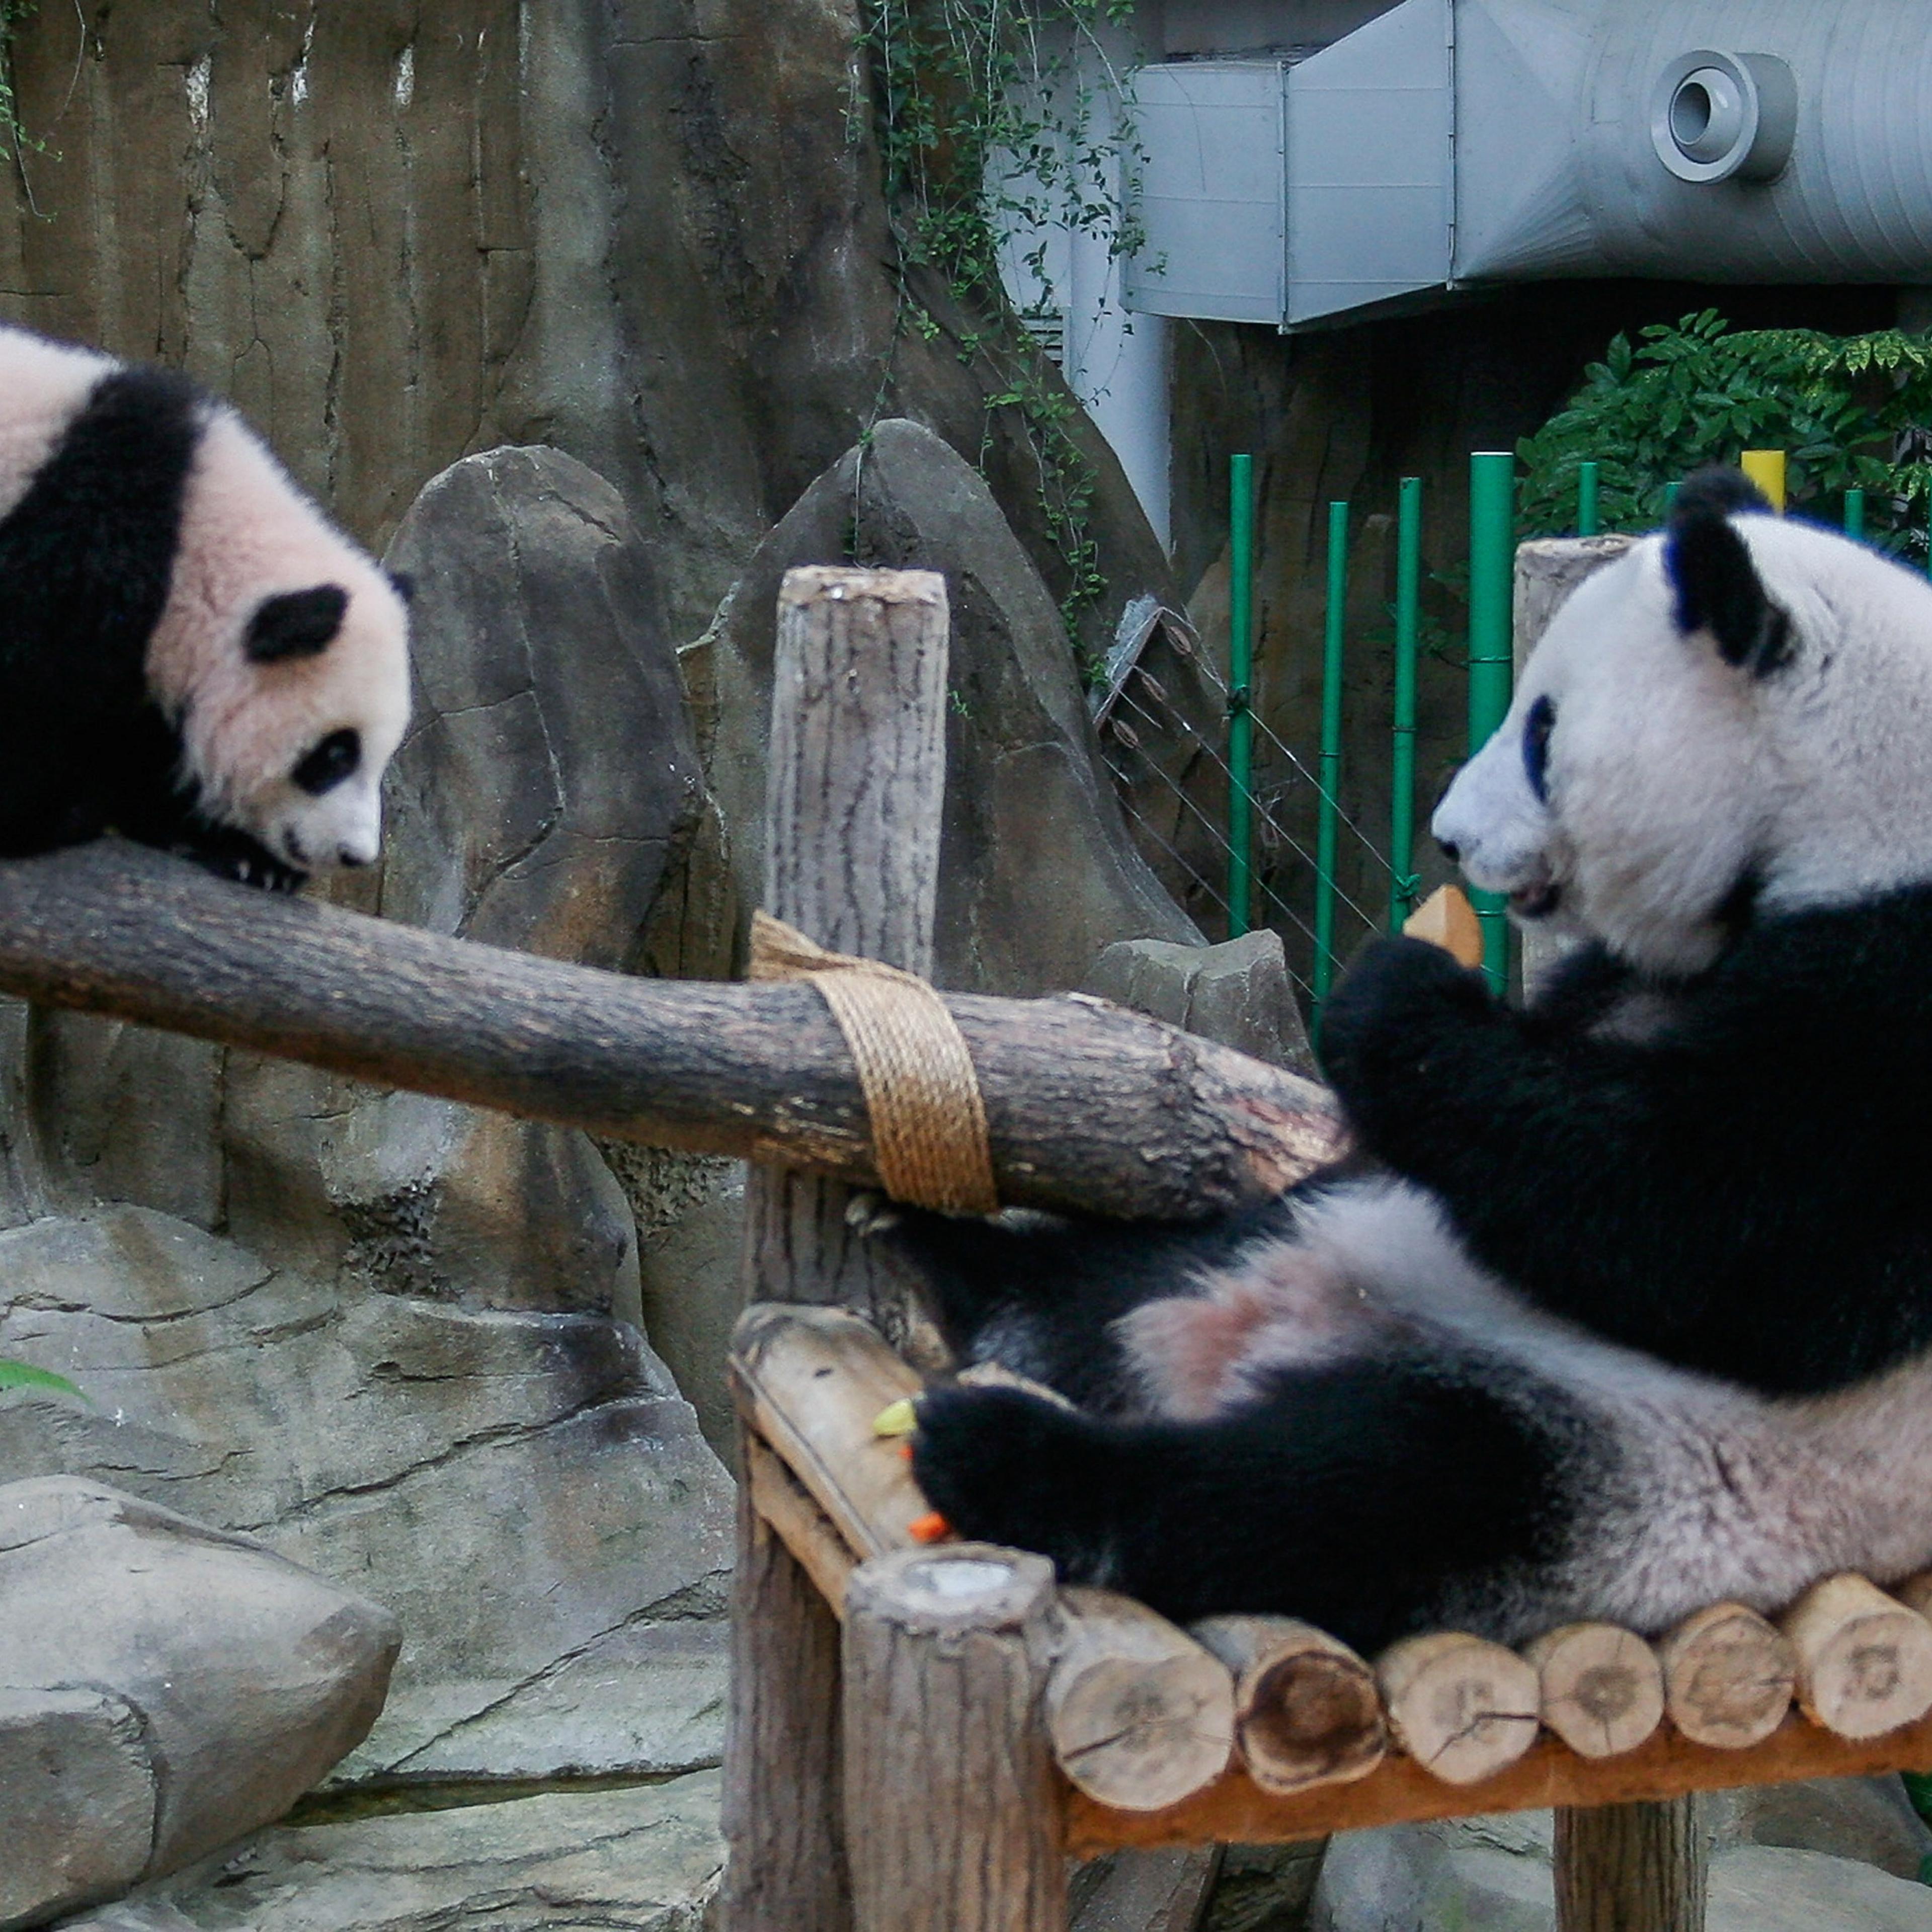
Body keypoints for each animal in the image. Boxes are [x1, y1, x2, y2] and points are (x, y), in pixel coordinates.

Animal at [0, 323, 411, 891]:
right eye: (335, 754)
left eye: (384, 753)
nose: (355, 854)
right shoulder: (83, 538)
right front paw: (45, 813)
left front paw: (243, 854)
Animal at [876, 467, 1932, 1654]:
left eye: (1543, 731)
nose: (1450, 838)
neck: (1851, 820)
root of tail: (1258, 1339)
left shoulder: (1900, 1002)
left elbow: (1713, 1236)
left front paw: (1391, 996)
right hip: (1325, 1226)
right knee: (1142, 1276)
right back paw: (958, 1265)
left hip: (1641, 1465)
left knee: (1354, 1491)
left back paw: (1015, 1463)